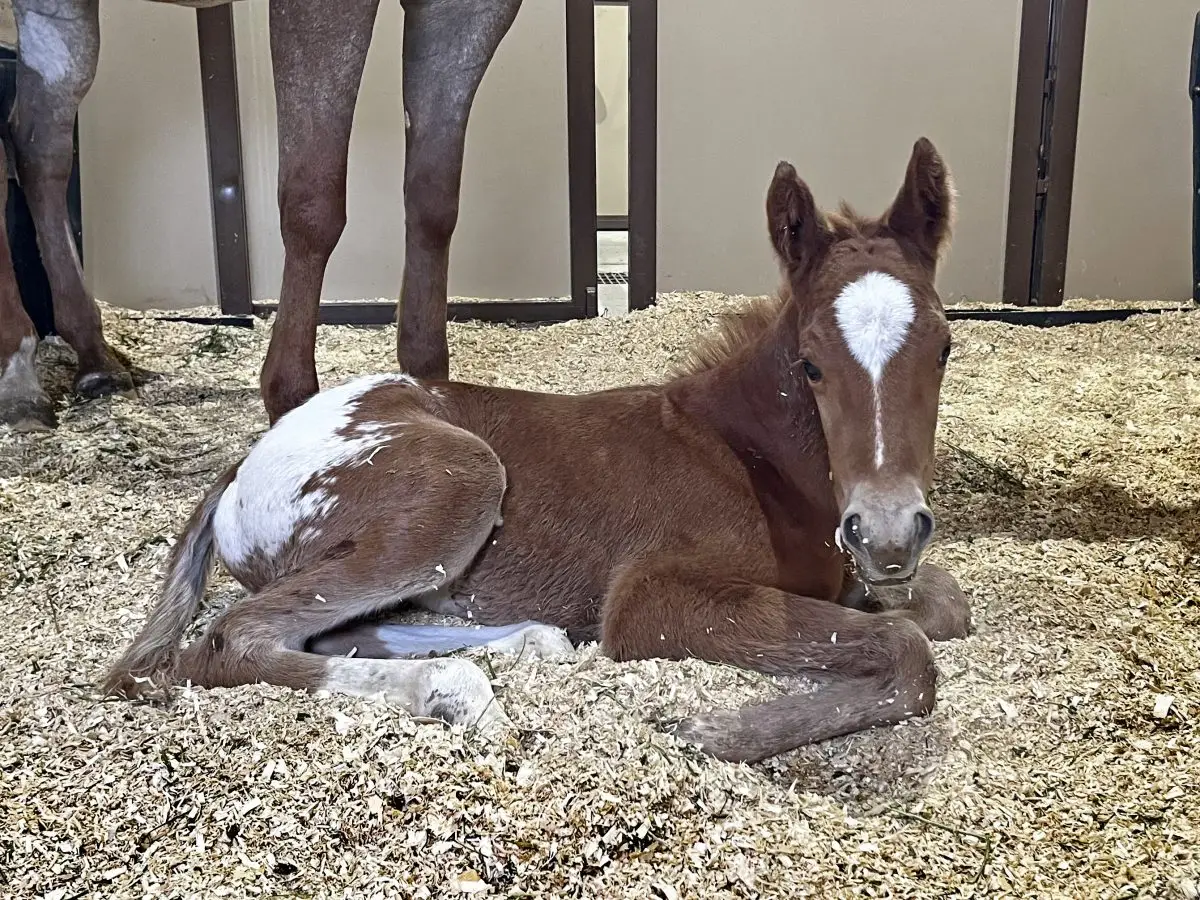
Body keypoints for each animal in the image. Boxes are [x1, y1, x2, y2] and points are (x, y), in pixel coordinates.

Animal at [0, 0, 523, 432]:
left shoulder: (467, 9)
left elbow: (433, 202)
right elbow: (314, 204)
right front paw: (290, 396)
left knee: (38, 149)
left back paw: (96, 360)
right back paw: (18, 376)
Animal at [104, 138, 973, 764]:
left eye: (945, 348)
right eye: (811, 363)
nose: (887, 534)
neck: (747, 457)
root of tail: (245, 461)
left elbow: (942, 610)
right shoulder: (654, 596)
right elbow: (909, 649)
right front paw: (715, 732)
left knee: (331, 631)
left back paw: (530, 645)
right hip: (461, 481)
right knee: (238, 637)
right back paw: (454, 689)